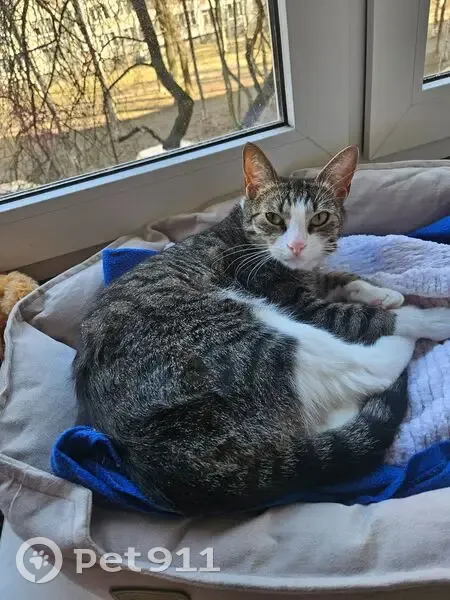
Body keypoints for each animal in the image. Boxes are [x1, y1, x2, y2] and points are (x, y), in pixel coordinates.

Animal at [74, 143, 450, 516]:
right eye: (274, 218)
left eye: (319, 218)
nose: (297, 246)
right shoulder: (297, 304)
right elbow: (360, 316)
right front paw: (421, 314)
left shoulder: (310, 280)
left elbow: (338, 278)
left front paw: (380, 291)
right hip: (246, 336)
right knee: (369, 367)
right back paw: (405, 342)